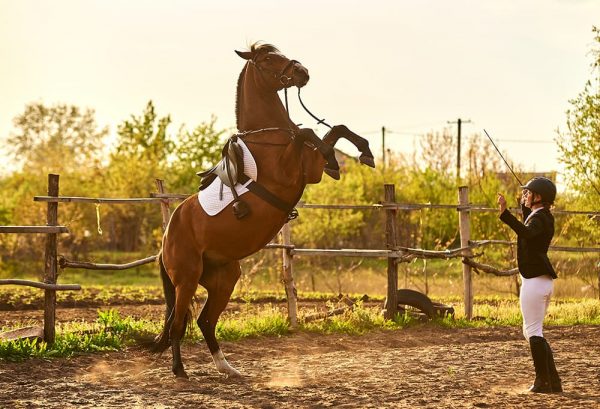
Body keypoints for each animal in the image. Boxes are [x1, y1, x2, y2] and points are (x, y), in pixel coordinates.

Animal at [152, 43, 372, 378]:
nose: (302, 72)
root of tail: (166, 239)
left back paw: (227, 368)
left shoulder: (310, 169)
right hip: (187, 280)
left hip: (224, 278)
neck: (270, 136)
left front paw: (362, 152)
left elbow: (334, 129)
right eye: (268, 59)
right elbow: (307, 132)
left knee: (205, 321)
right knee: (178, 323)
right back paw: (179, 370)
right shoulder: (291, 169)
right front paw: (337, 156)